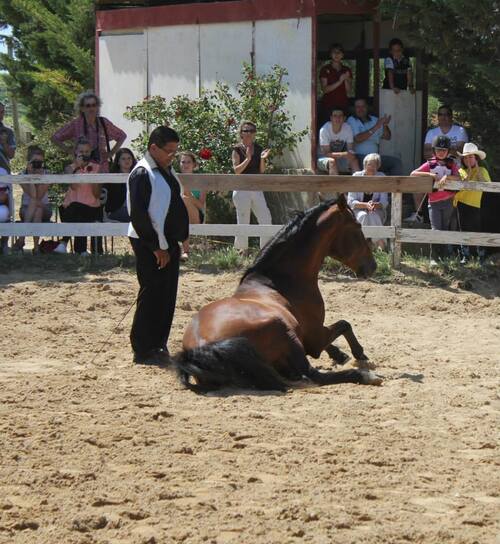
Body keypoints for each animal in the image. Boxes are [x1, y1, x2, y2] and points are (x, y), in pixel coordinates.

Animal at [174, 194, 380, 392]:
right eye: (357, 226)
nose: (373, 266)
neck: (279, 281)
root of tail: (199, 349)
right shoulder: (314, 337)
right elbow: (344, 324)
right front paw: (358, 353)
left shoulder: (310, 333)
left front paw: (340, 354)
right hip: (283, 330)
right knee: (313, 375)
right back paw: (365, 376)